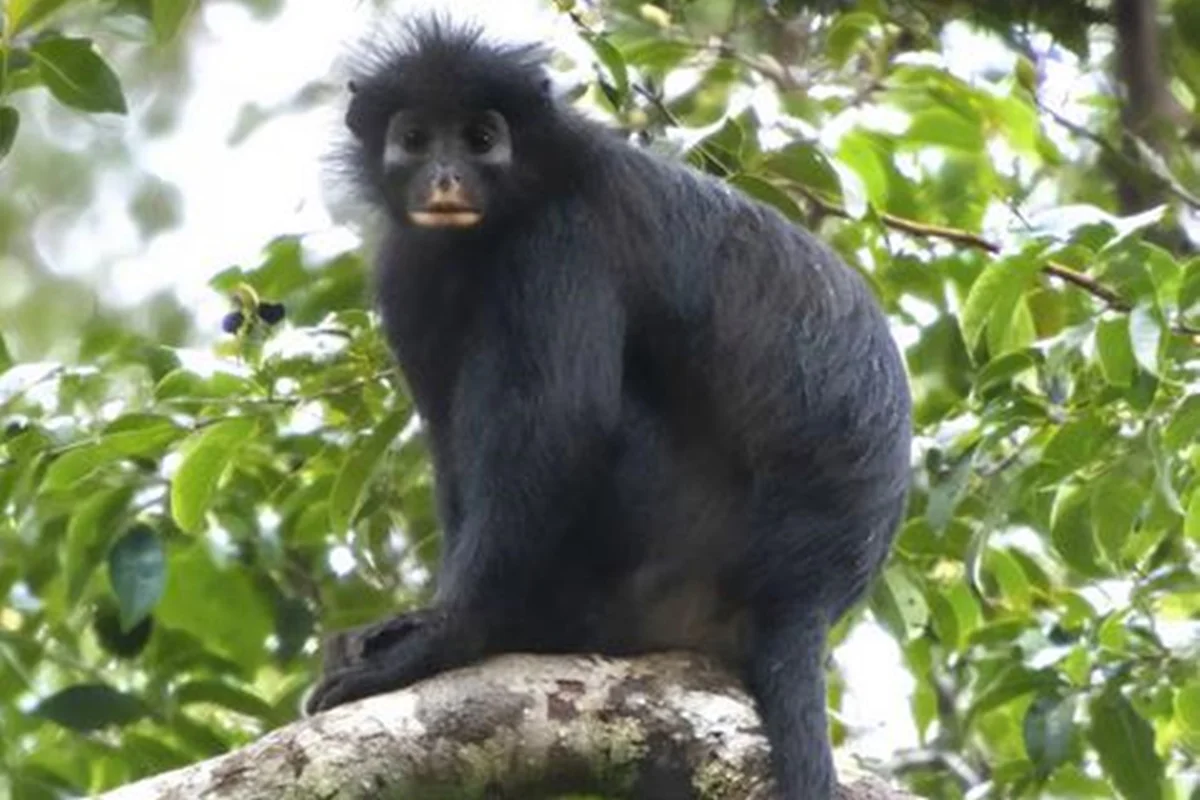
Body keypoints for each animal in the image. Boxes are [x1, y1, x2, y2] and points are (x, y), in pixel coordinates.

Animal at [305, 18, 912, 800]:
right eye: (415, 138)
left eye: (480, 139)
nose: (445, 177)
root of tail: (806, 592)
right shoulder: (409, 269)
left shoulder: (562, 239)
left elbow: (562, 426)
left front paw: (449, 636)